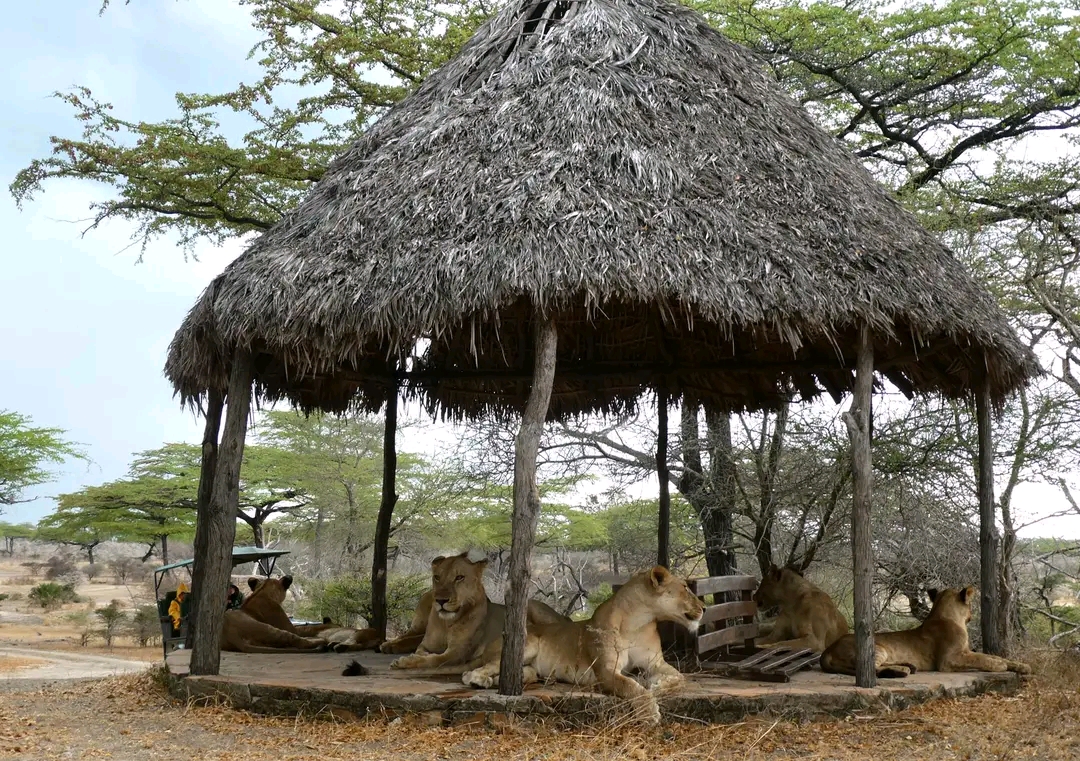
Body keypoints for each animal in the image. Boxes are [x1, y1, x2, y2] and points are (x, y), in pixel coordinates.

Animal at [382, 552, 565, 669]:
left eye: (459, 577)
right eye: (437, 577)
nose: (441, 600)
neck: (446, 623)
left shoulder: (457, 653)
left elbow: (433, 660)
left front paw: (404, 661)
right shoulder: (426, 645)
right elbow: (423, 651)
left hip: (534, 606)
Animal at [460, 565, 704, 721]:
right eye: (685, 588)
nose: (704, 607)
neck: (638, 622)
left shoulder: (655, 663)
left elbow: (680, 678)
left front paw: (658, 685)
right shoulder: (606, 670)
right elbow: (632, 687)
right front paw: (649, 711)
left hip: (530, 670)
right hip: (527, 645)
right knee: (470, 673)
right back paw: (479, 680)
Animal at [820, 582, 1032, 677]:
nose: (972, 615)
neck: (945, 615)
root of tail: (827, 651)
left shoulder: (965, 651)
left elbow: (992, 655)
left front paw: (1021, 666)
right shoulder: (948, 660)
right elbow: (983, 659)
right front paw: (999, 666)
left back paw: (908, 666)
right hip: (876, 647)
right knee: (871, 668)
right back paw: (903, 670)